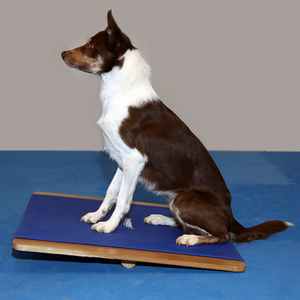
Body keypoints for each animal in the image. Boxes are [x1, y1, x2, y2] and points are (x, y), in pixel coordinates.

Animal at [62, 9, 292, 246]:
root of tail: (231, 216)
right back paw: (161, 218)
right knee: (186, 223)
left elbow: (123, 200)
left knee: (222, 235)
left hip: (184, 198)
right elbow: (110, 193)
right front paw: (96, 216)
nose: (62, 53)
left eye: (90, 45)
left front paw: (108, 226)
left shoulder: (134, 160)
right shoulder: (122, 161)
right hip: (175, 198)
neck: (121, 92)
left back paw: (191, 239)